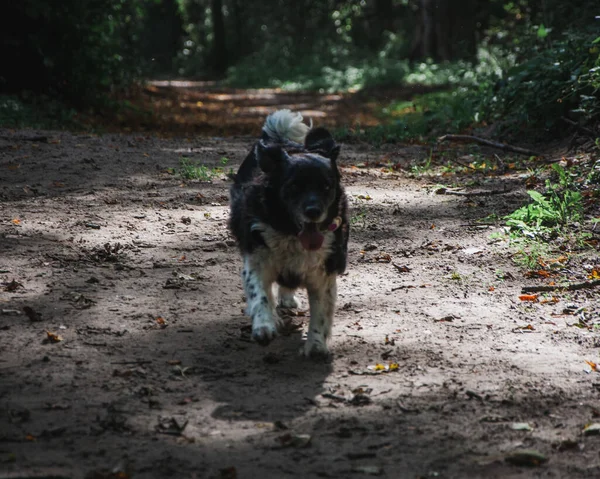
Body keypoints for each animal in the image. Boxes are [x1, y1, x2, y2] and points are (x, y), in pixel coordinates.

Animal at [231, 109, 352, 356]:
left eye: (326, 186)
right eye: (294, 186)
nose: (314, 211)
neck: (291, 232)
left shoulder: (324, 272)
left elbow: (321, 312)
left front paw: (315, 345)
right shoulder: (257, 260)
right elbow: (261, 296)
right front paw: (265, 325)